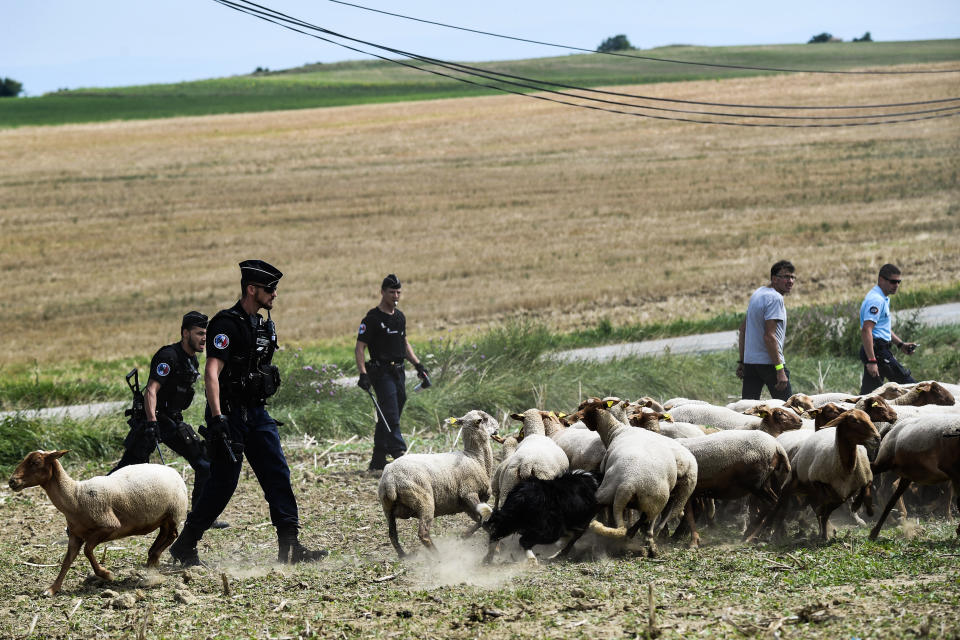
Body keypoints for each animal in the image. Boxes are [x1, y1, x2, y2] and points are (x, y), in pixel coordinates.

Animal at [6, 450, 188, 596]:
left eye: (36, 462)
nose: (12, 481)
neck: (75, 496)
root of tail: (173, 470)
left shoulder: (109, 526)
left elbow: (87, 551)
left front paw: (106, 574)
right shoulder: (75, 536)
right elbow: (67, 561)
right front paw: (52, 589)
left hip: (173, 512)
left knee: (172, 535)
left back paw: (155, 556)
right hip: (162, 517)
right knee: (164, 534)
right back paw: (152, 558)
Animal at [376, 410, 498, 556]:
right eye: (485, 418)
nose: (497, 427)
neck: (475, 457)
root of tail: (390, 478)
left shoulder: (467, 505)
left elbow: (482, 520)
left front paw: (466, 536)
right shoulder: (468, 493)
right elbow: (485, 518)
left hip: (387, 507)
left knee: (392, 534)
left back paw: (403, 556)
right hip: (424, 501)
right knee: (423, 533)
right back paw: (438, 556)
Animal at [576, 400, 696, 556]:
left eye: (584, 406)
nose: (576, 415)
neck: (617, 430)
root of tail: (629, 484)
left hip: (608, 492)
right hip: (670, 497)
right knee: (660, 518)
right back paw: (649, 543)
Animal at [748, 410, 880, 540]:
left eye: (869, 417)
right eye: (854, 420)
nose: (877, 438)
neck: (845, 467)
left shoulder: (843, 495)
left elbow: (825, 512)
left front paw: (825, 534)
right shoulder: (820, 486)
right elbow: (821, 511)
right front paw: (824, 534)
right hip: (791, 481)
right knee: (778, 505)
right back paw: (765, 532)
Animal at [872, 410, 960, 540]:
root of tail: (888, 431)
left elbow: (946, 496)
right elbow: (948, 497)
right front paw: (949, 518)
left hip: (895, 472)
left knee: (882, 491)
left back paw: (891, 521)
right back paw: (900, 516)